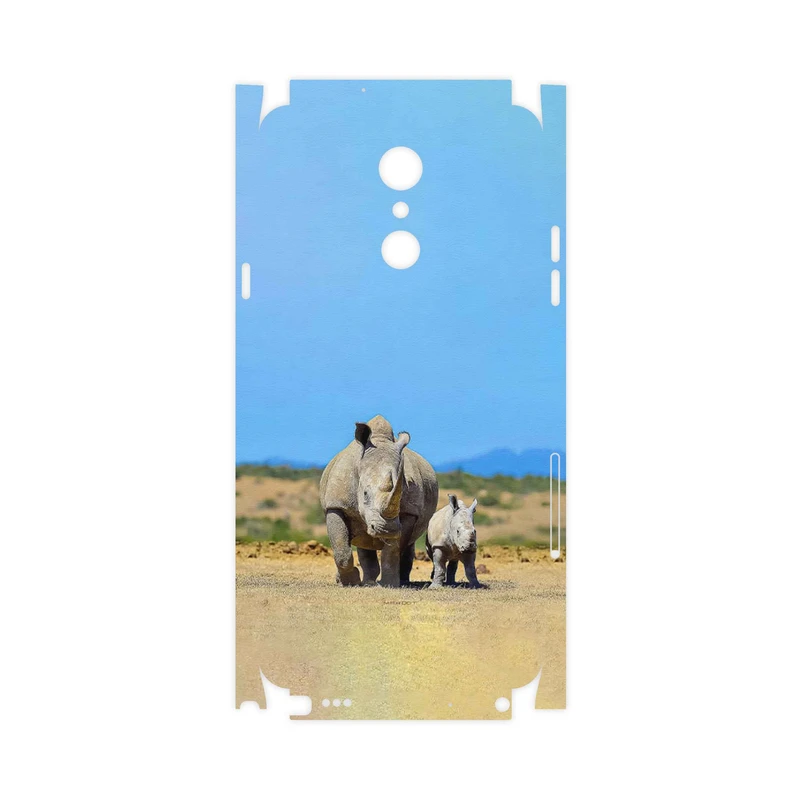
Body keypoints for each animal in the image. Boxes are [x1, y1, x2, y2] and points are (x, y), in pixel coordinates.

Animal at [319, 415, 439, 587]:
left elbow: (393, 550)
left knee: (407, 543)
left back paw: (400, 581)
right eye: (365, 494)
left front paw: (390, 584)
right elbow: (341, 548)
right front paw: (350, 582)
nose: (387, 529)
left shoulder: (409, 512)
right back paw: (366, 582)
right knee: (363, 541)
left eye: (400, 494)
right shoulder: (336, 505)